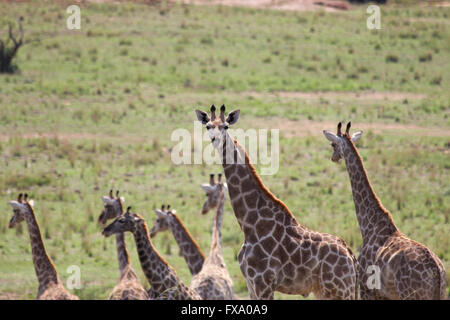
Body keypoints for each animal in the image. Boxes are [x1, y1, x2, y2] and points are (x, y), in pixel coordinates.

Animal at [324, 121, 446, 298]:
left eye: (333, 144)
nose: (333, 157)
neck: (369, 224)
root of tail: (436, 272)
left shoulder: (367, 288)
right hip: (441, 293)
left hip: (410, 294)